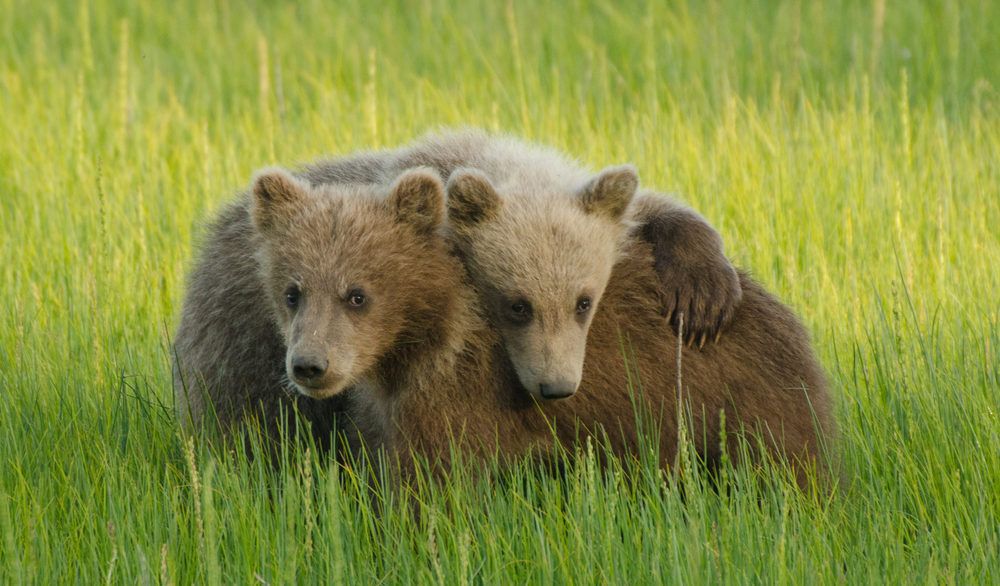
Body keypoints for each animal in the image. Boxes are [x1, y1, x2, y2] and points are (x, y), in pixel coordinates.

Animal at [248, 167, 834, 487]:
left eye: (357, 295)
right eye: (292, 292)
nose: (309, 366)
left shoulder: (459, 397)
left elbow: (436, 486)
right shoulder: (387, 406)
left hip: (740, 399)